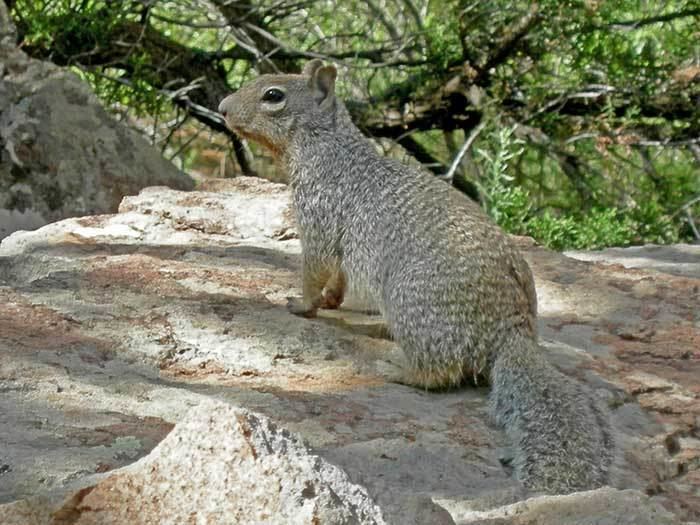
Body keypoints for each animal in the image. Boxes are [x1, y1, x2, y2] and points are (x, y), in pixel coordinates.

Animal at [219, 59, 612, 494]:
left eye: (273, 95)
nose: (221, 108)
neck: (329, 149)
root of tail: (513, 330)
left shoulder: (317, 218)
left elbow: (314, 269)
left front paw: (300, 304)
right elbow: (337, 277)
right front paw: (332, 301)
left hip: (411, 304)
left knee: (439, 372)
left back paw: (395, 368)